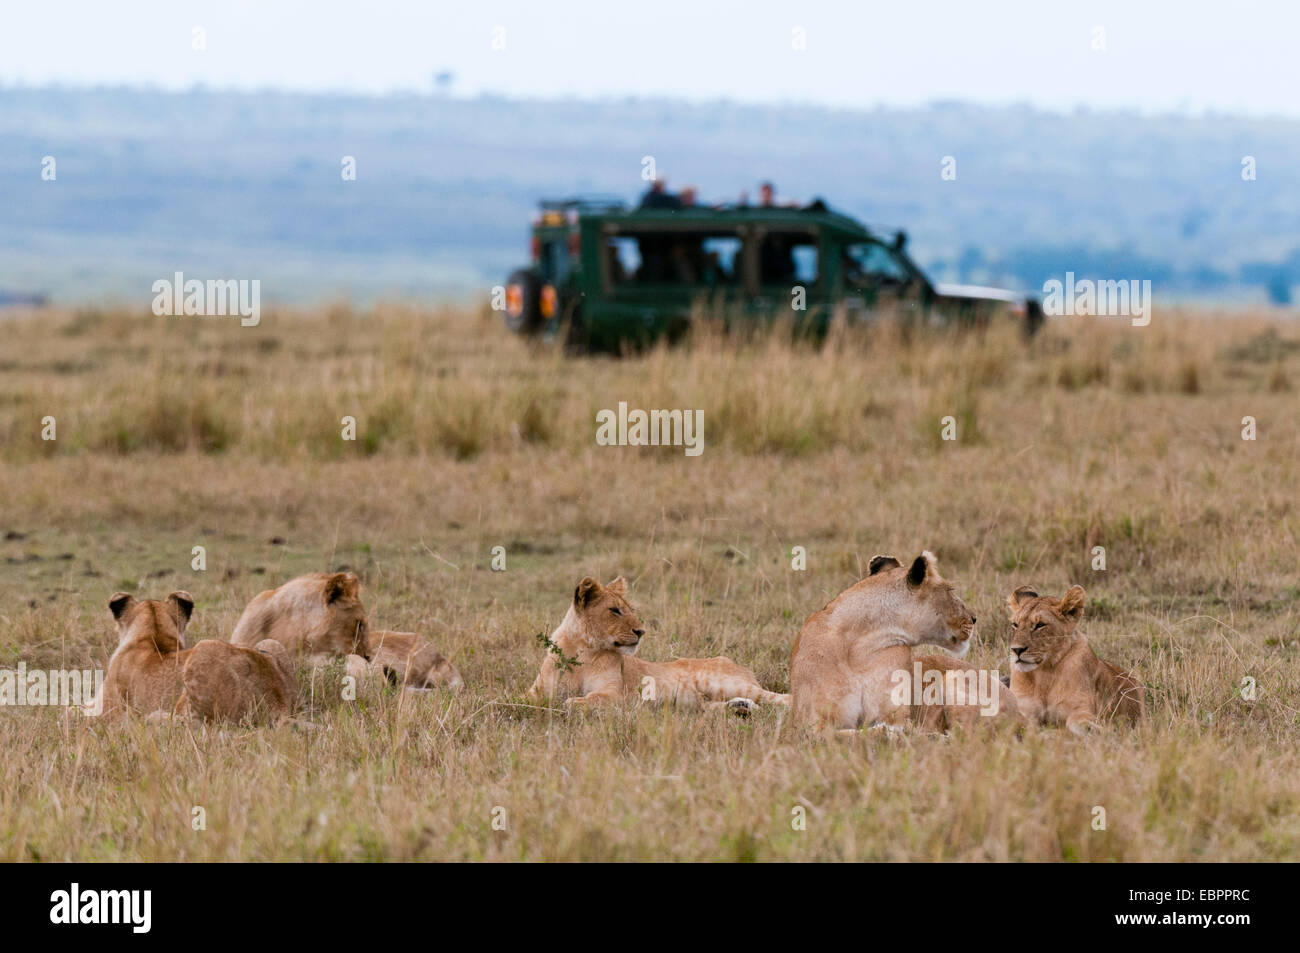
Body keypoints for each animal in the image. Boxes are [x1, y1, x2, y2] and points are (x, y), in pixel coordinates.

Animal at [89, 591, 294, 724]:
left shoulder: (106, 710)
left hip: (205, 648)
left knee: (192, 723)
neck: (153, 636)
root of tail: (280, 704)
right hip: (270, 643)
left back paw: (152, 718)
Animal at [527, 576, 789, 712]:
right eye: (615, 610)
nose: (641, 631)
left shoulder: (618, 695)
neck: (583, 650)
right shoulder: (536, 690)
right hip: (704, 703)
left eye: (630, 609)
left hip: (725, 682)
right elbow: (529, 698)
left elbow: (592, 698)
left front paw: (573, 702)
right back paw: (740, 709)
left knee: (782, 697)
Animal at [790, 552, 1017, 732]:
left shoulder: (896, 713)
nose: (974, 618)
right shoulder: (811, 722)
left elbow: (887, 728)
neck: (859, 648)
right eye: (950, 590)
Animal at [1006, 584, 1144, 733]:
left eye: (1040, 625)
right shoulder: (1024, 710)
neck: (1044, 674)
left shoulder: (1081, 709)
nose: (1016, 650)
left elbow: (1076, 724)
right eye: (1015, 624)